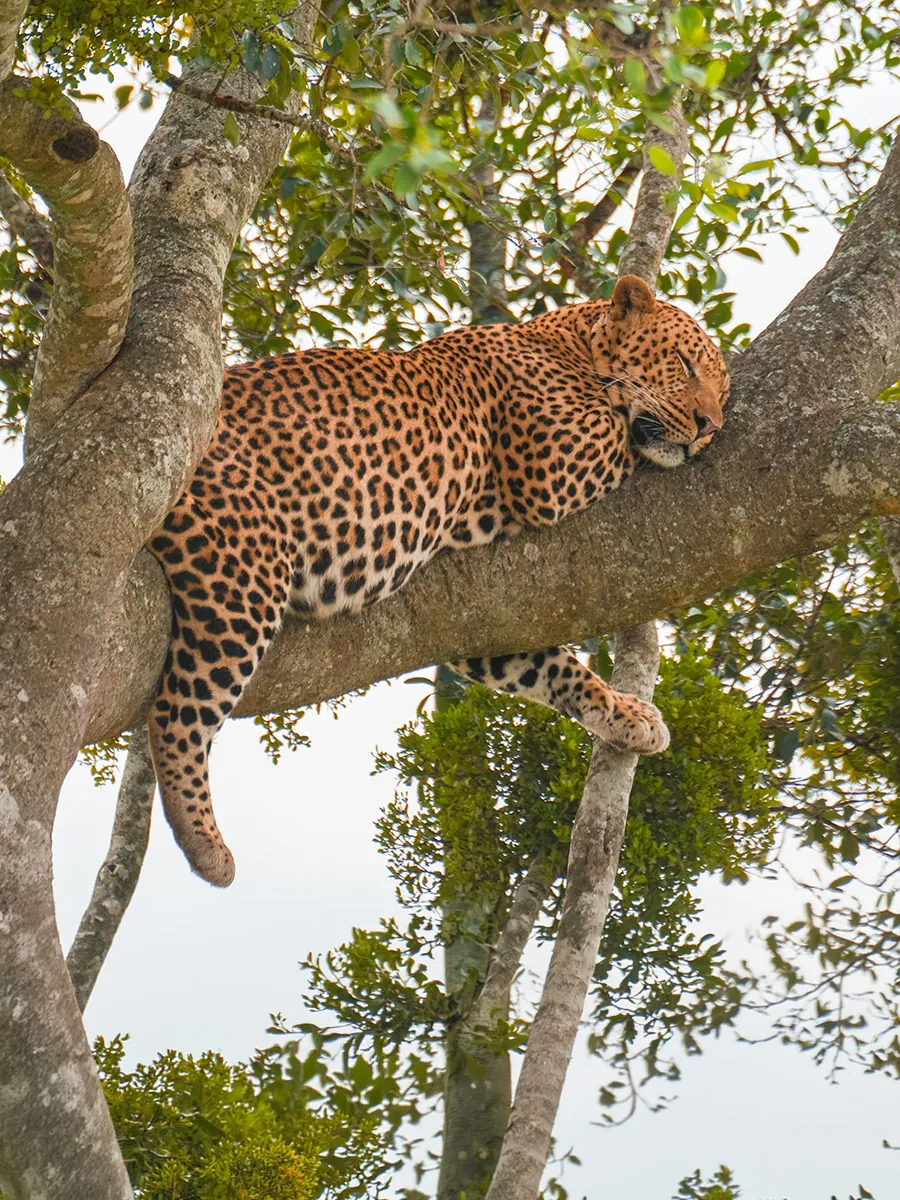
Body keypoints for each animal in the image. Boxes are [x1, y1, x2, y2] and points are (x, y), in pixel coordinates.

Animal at [148, 274, 729, 887]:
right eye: (685, 364)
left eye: (724, 390)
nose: (711, 426)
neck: (569, 341)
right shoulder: (555, 464)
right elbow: (628, 437)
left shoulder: (484, 627)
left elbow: (554, 668)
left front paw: (628, 716)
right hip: (243, 570)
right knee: (176, 717)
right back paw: (205, 844)